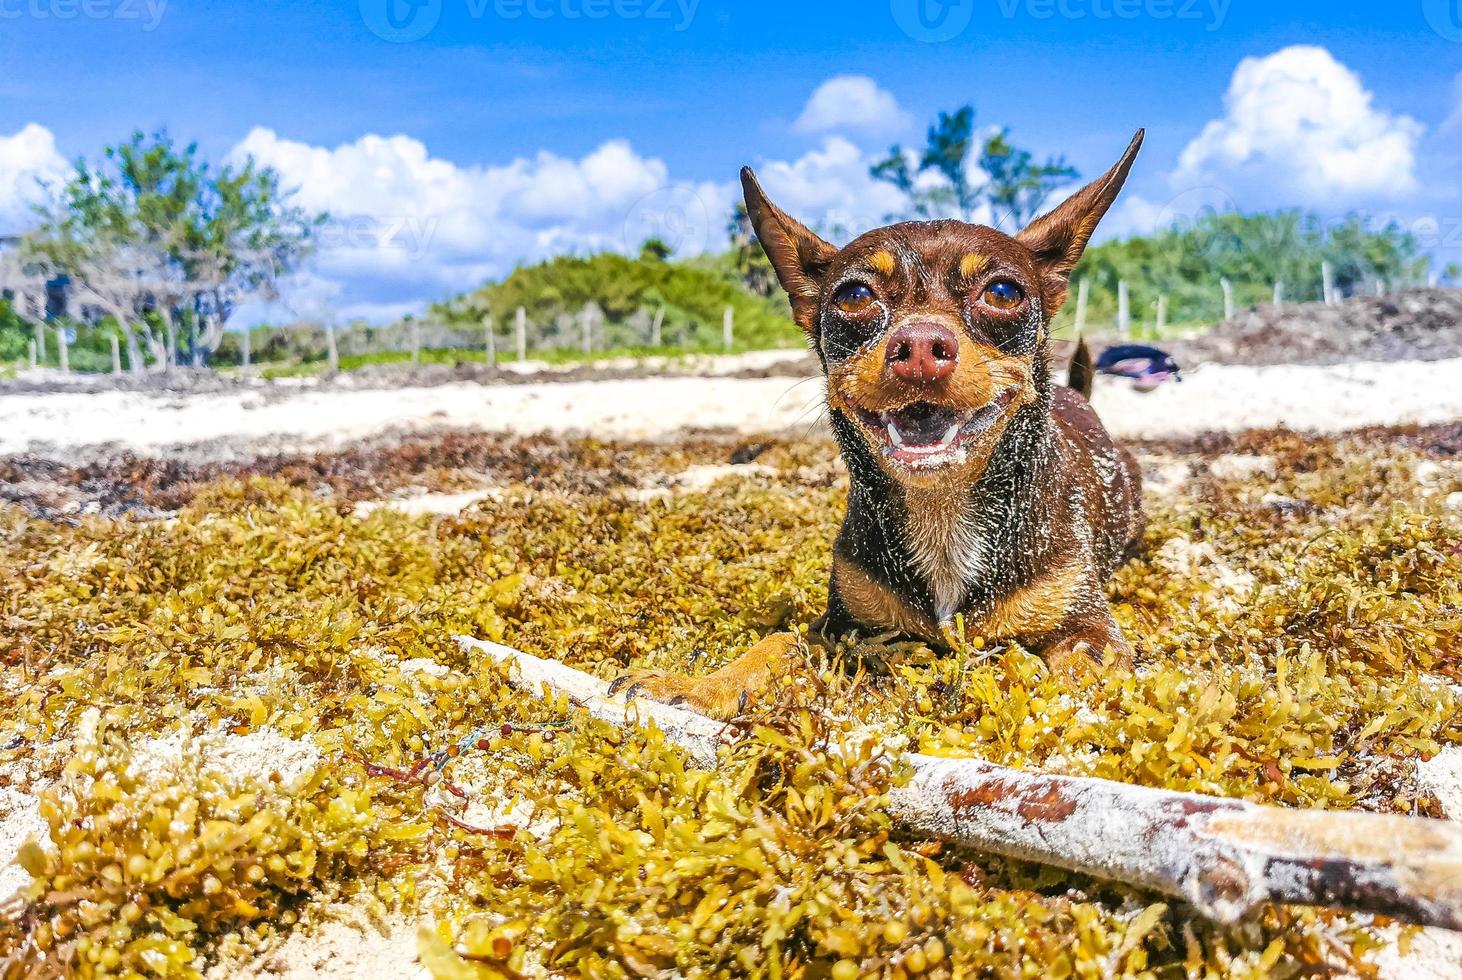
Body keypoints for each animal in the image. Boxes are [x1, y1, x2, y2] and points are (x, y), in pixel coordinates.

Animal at [611, 130, 1146, 716]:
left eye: (1003, 293)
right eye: (854, 296)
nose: (919, 345)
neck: (942, 512)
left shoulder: (1090, 631)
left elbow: (1078, 671)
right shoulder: (842, 629)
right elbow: (778, 642)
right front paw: (700, 686)